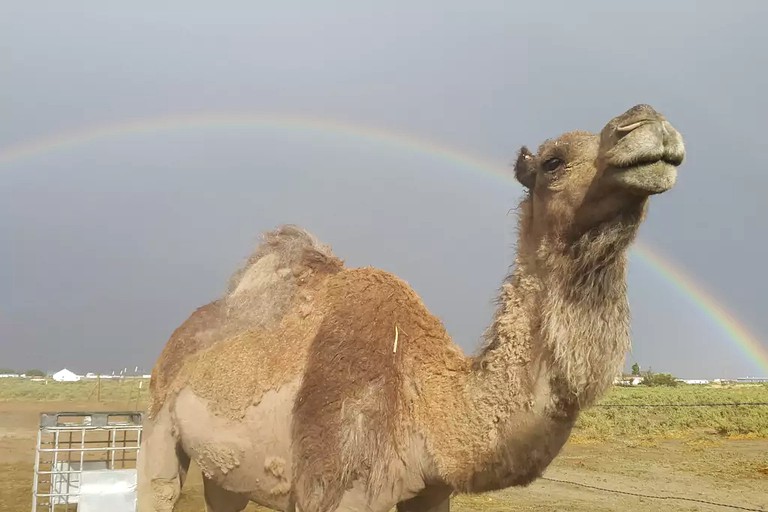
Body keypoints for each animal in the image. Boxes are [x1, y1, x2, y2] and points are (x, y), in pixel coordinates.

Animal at [135, 104, 688, 512]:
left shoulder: (431, 493)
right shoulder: (333, 485)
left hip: (223, 474)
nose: (646, 123)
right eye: (553, 161)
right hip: (158, 428)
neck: (431, 404)